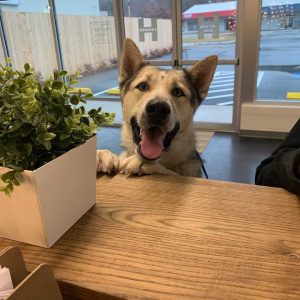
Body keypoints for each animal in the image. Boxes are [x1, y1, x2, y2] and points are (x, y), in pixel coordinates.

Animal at [97, 38, 217, 177]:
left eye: (178, 92)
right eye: (142, 86)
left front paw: (141, 162)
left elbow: (171, 173)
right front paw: (100, 155)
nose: (158, 109)